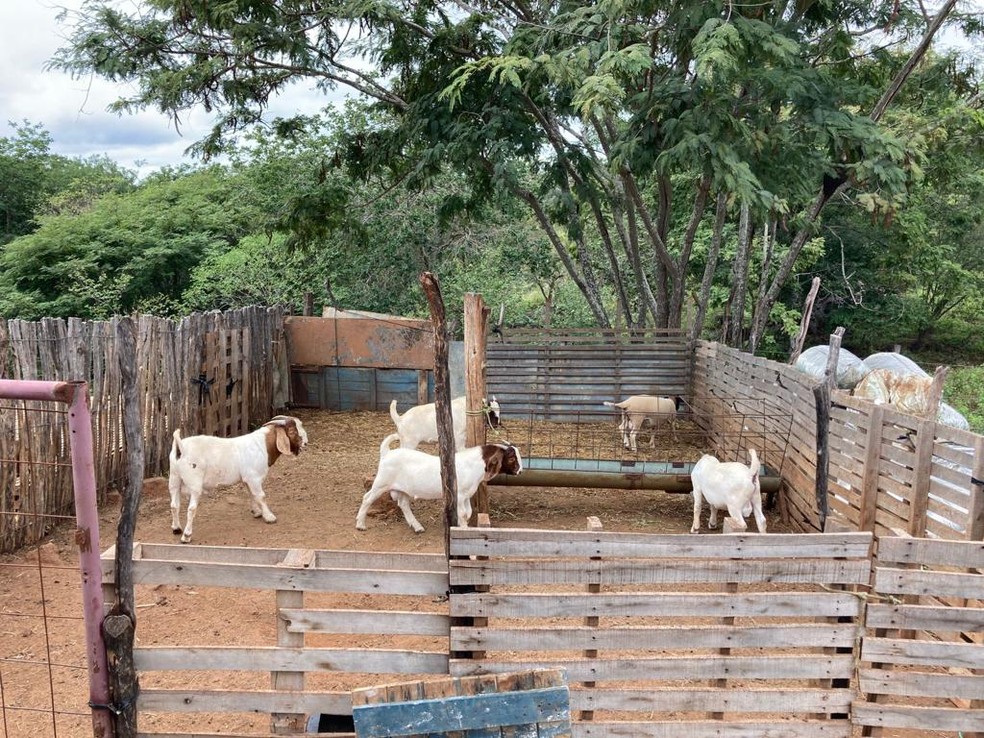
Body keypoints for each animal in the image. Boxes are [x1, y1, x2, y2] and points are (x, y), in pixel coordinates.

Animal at [167, 414, 310, 540]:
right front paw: (269, 517)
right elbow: (260, 496)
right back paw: (186, 536)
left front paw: (257, 512)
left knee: (174, 505)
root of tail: (181, 448)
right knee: (191, 509)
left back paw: (176, 529)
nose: (306, 443)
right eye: (292, 431)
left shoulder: (248, 479)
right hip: (195, 484)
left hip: (174, 479)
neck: (262, 445)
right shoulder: (254, 477)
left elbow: (252, 494)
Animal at [354, 432, 524, 528]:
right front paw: (462, 529)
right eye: (511, 458)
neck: (474, 464)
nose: (520, 471)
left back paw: (417, 526)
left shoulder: (466, 495)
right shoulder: (459, 494)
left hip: (402, 488)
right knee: (367, 498)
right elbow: (463, 514)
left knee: (403, 504)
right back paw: (360, 524)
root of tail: (387, 453)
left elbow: (468, 513)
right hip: (381, 483)